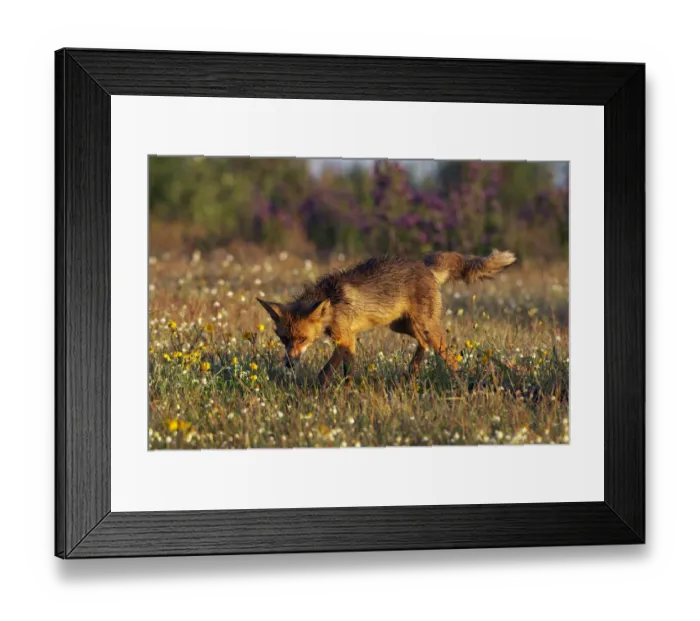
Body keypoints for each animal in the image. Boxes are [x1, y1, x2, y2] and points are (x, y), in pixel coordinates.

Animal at [256, 249, 516, 386]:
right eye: (284, 339)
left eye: (302, 339)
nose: (289, 363)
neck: (331, 304)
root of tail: (425, 266)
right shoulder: (347, 341)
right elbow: (345, 370)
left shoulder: (345, 339)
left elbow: (329, 371)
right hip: (401, 326)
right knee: (422, 345)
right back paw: (412, 372)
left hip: (428, 328)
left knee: (449, 356)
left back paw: (459, 383)